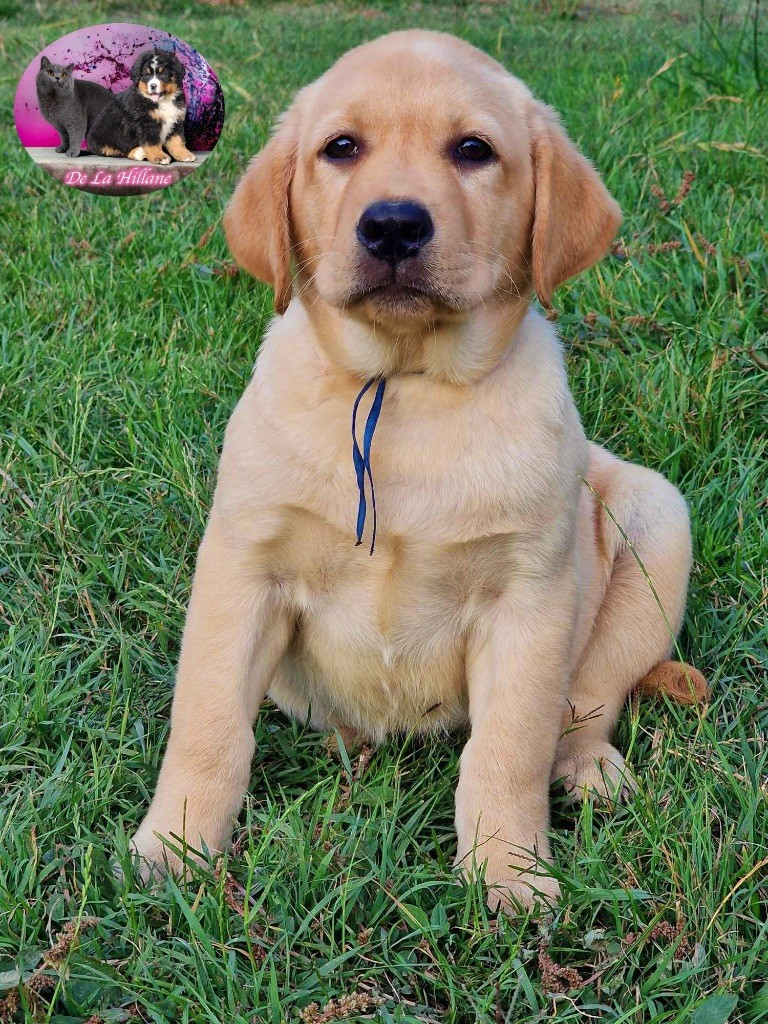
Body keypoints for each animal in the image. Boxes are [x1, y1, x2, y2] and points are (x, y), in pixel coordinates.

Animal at [129, 29, 708, 913]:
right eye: (341, 148)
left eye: (473, 150)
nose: (394, 226)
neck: (402, 384)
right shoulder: (242, 568)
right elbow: (209, 719)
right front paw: (177, 843)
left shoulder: (528, 597)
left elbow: (508, 747)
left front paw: (508, 874)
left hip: (655, 519)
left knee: (588, 700)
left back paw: (589, 770)